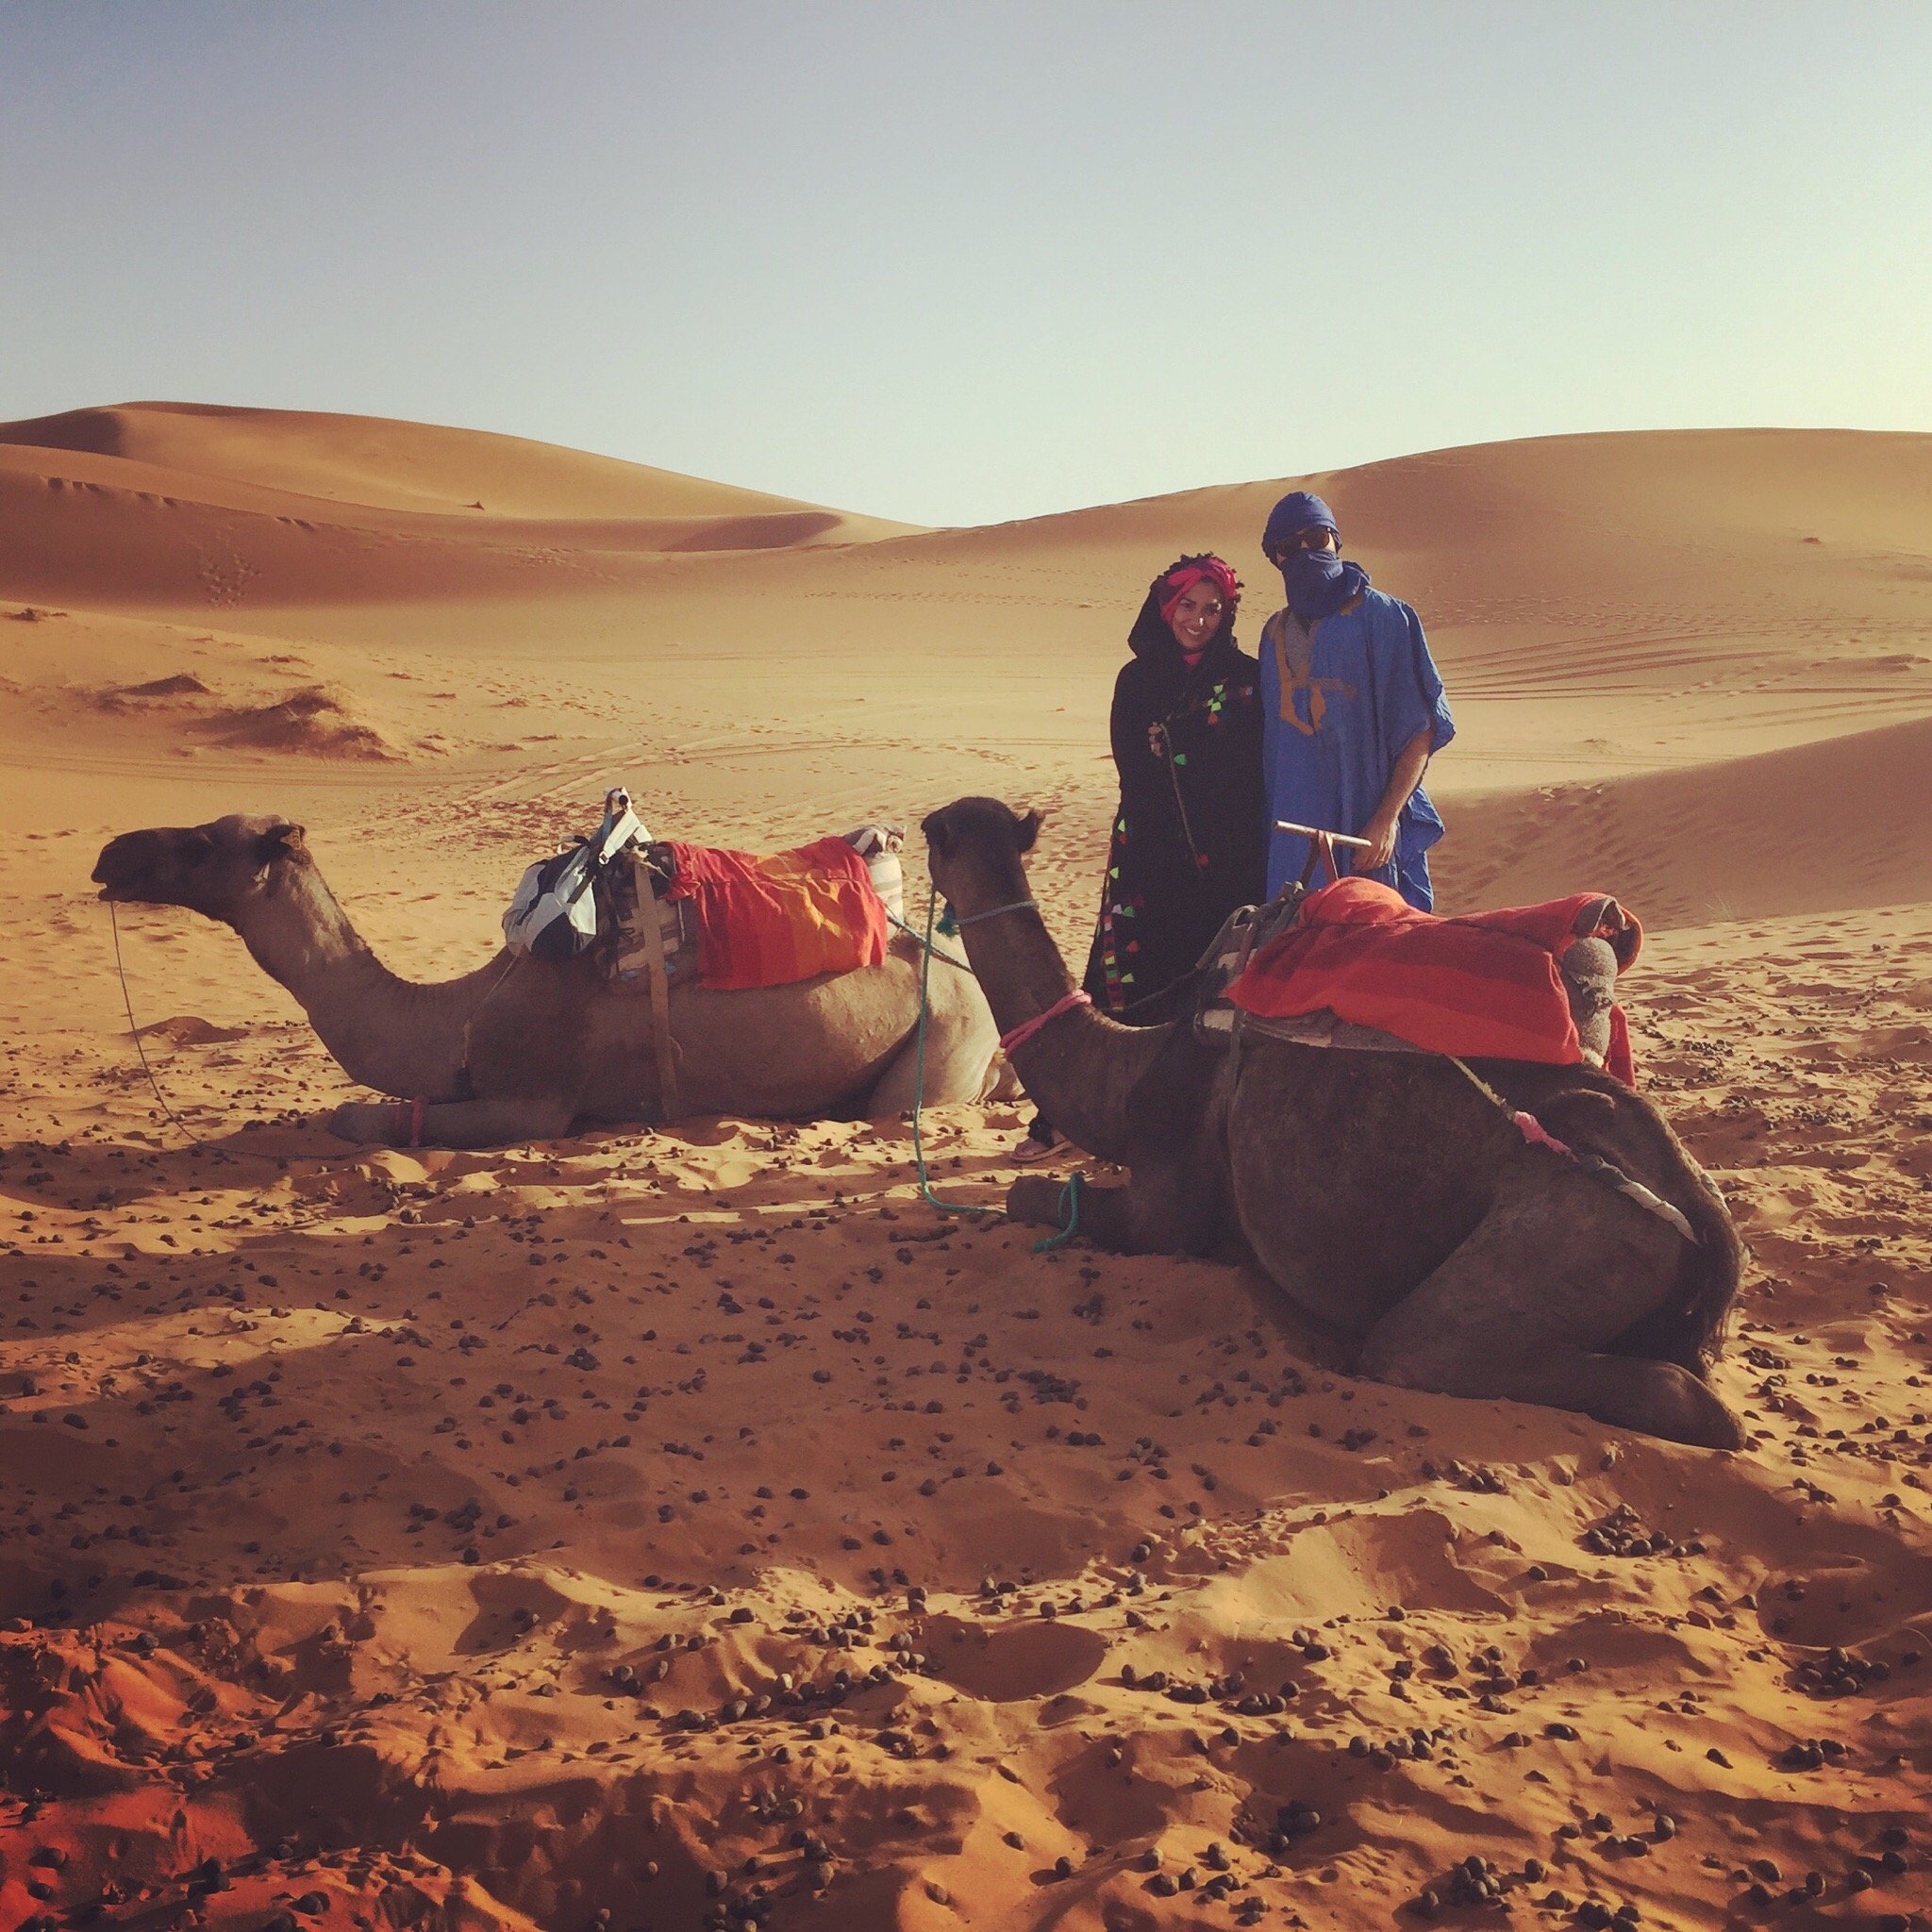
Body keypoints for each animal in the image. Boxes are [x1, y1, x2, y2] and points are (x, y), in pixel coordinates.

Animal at [92, 808, 1004, 1136]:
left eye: (203, 844)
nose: (111, 853)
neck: (455, 1018)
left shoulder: (536, 1099)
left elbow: (356, 1120)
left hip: (945, 1038)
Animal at [919, 799, 1754, 1453]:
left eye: (937, 832)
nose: (914, 826)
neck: (1127, 1068)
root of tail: (1700, 1216)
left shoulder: (1168, 1192)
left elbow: (1036, 1198)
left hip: (1582, 1236)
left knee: (1426, 1348)